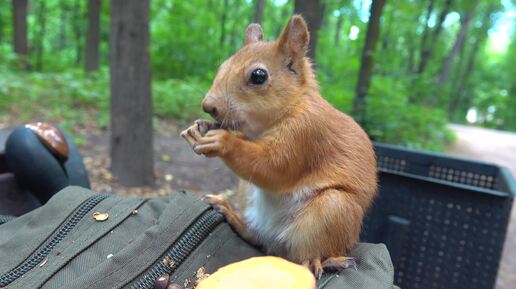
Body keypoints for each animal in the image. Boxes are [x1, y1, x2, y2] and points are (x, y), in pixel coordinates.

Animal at [183, 15, 376, 276]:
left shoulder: (305, 135)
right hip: (248, 192)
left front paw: (222, 141)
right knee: (256, 236)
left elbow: (273, 166)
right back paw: (230, 212)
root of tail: (275, 240)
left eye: (258, 76)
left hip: (332, 210)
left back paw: (325, 261)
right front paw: (199, 127)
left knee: (304, 255)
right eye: (222, 67)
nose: (208, 106)